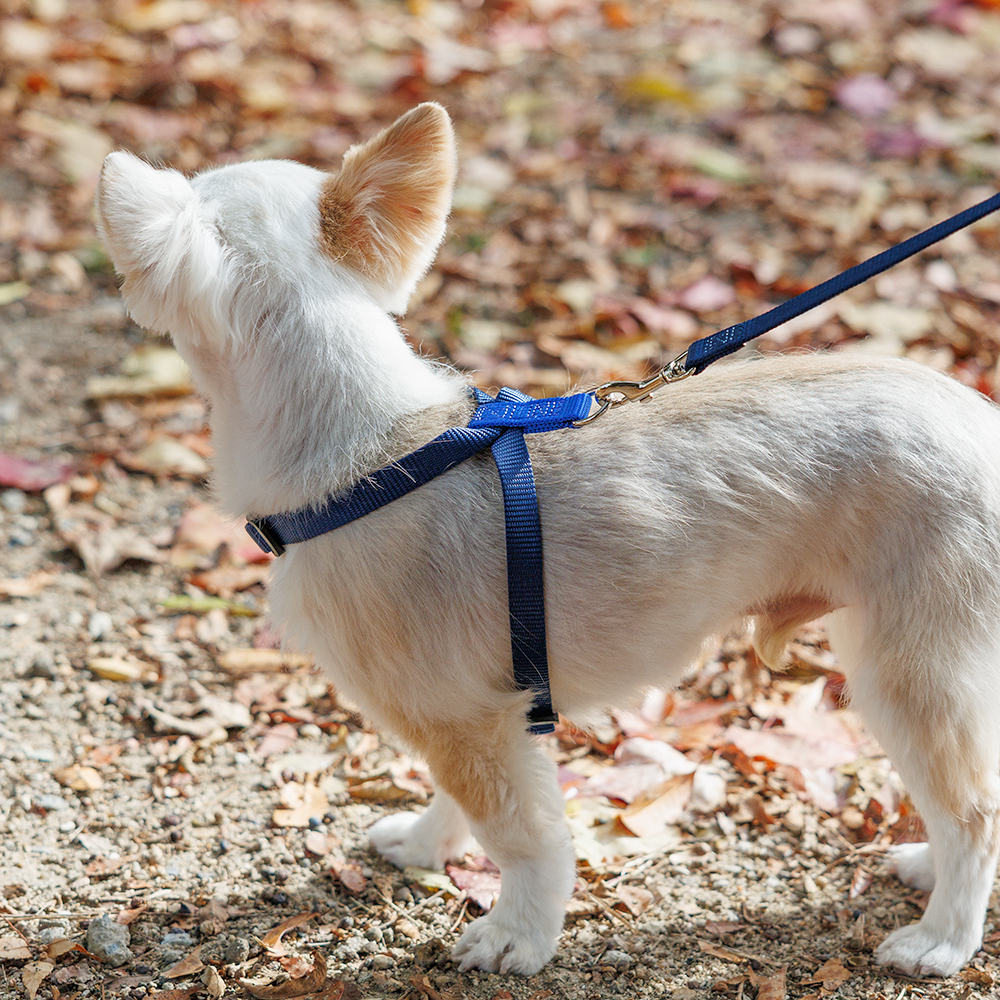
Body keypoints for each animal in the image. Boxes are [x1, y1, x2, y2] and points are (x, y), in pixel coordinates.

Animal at [97, 103, 1000, 976]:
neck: (376, 454)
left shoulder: (470, 718)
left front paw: (516, 935)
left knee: (974, 814)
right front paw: (426, 846)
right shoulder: (475, 720)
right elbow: (457, 800)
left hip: (909, 673)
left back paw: (942, 939)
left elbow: (524, 839)